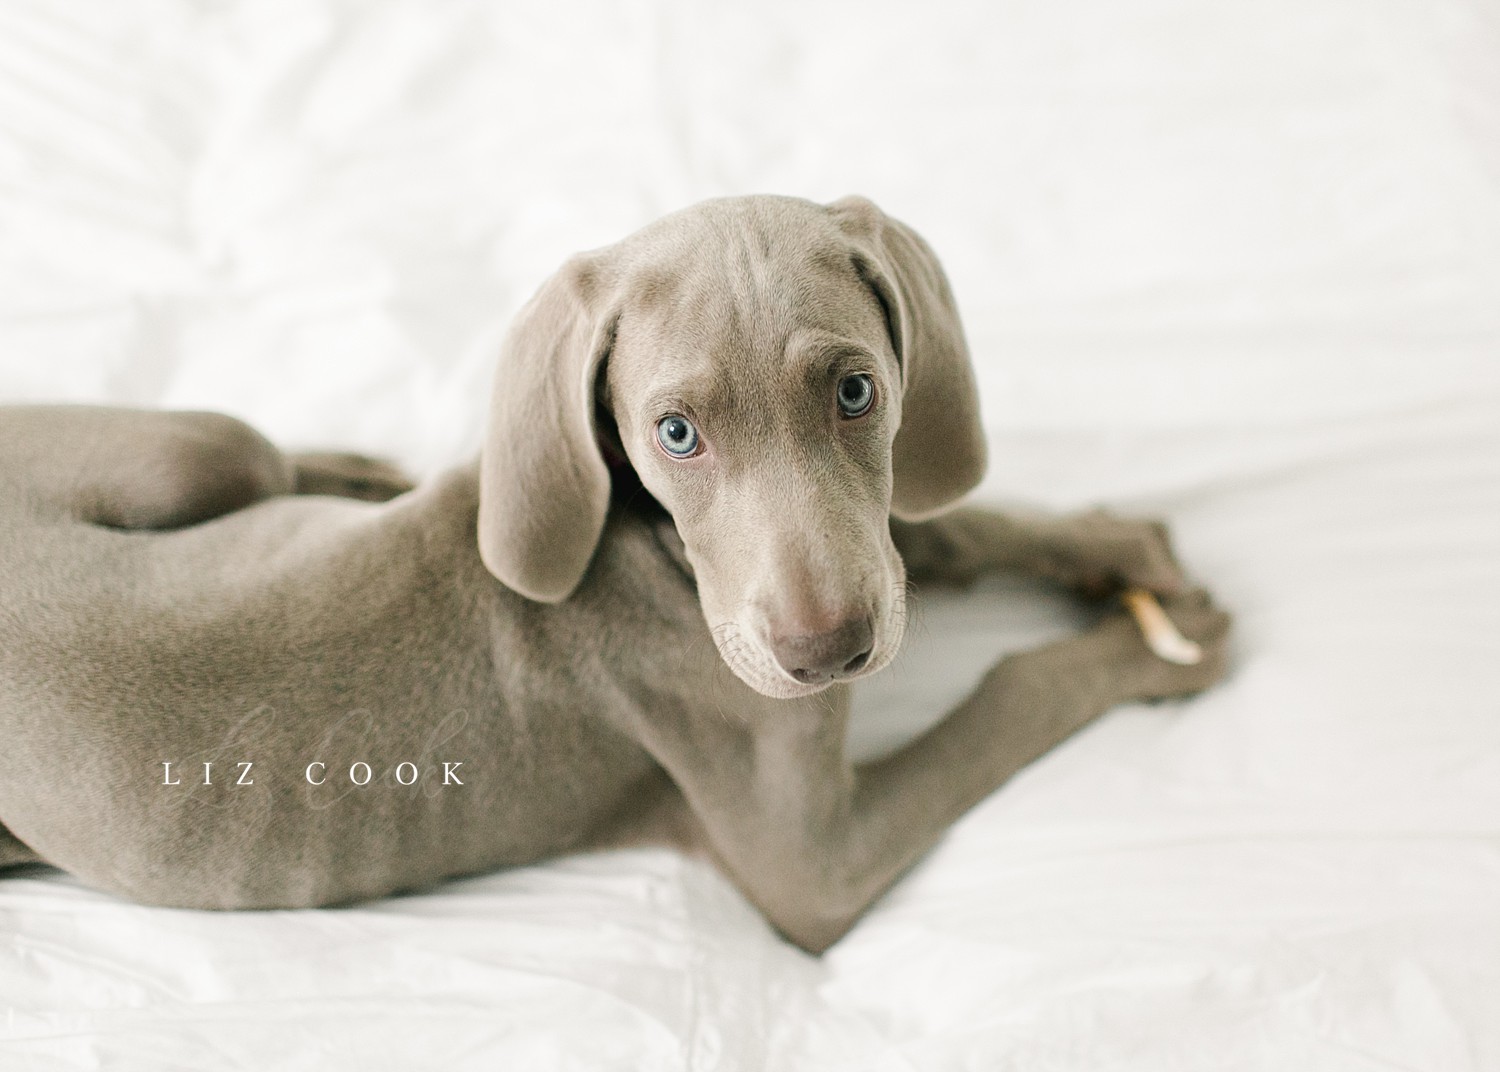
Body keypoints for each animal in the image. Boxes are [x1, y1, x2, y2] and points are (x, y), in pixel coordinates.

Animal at [0, 196, 1230, 953]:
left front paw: (1116, 554)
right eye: (674, 432)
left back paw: (378, 474)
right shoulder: (816, 864)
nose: (826, 654)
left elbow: (936, 534)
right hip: (198, 449)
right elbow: (1009, 693)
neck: (658, 552)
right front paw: (1150, 649)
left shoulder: (857, 555)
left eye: (857, 391)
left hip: (205, 454)